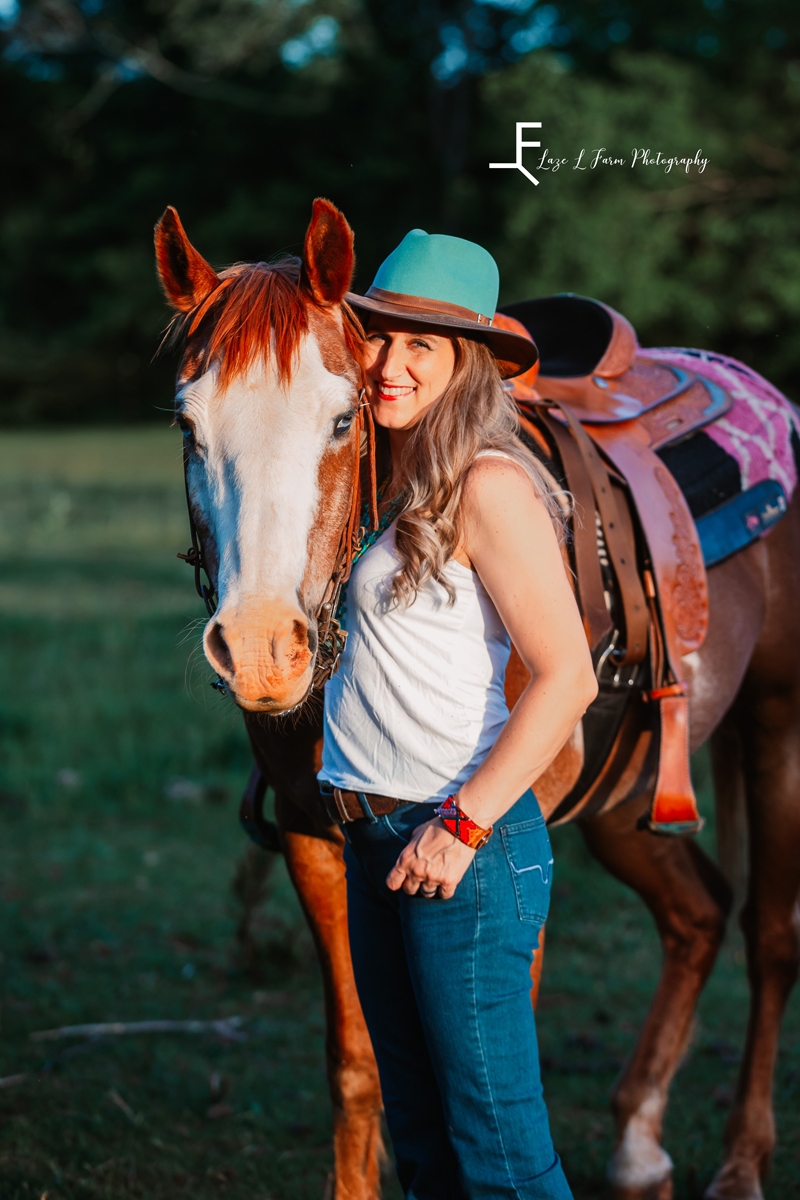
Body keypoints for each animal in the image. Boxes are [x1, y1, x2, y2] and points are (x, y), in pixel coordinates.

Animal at [153, 199, 800, 1200]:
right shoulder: (312, 837)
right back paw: (638, 1144)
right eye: (190, 425)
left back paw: (738, 1163)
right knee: (698, 912)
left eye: (342, 418)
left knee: (769, 936)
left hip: (775, 725)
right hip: (626, 795)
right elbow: (359, 1065)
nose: (262, 650)